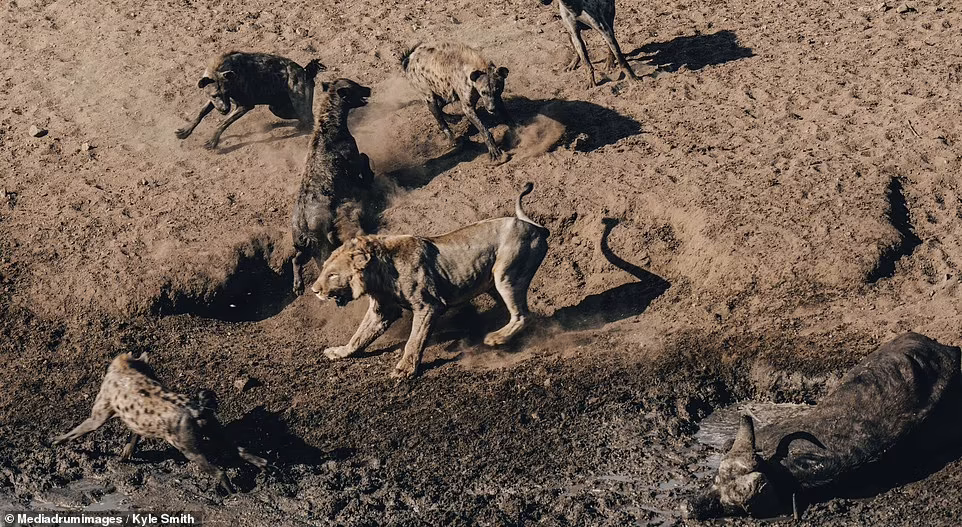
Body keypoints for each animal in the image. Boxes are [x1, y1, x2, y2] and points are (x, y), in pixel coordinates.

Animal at [314, 184, 548, 378]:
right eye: (324, 269)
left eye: (332, 275)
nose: (314, 290)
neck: (378, 274)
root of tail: (536, 227)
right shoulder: (382, 310)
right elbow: (359, 336)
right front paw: (340, 352)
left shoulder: (428, 306)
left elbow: (414, 340)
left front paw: (405, 370)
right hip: (494, 283)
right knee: (523, 314)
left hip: (507, 274)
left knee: (522, 315)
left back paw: (496, 338)